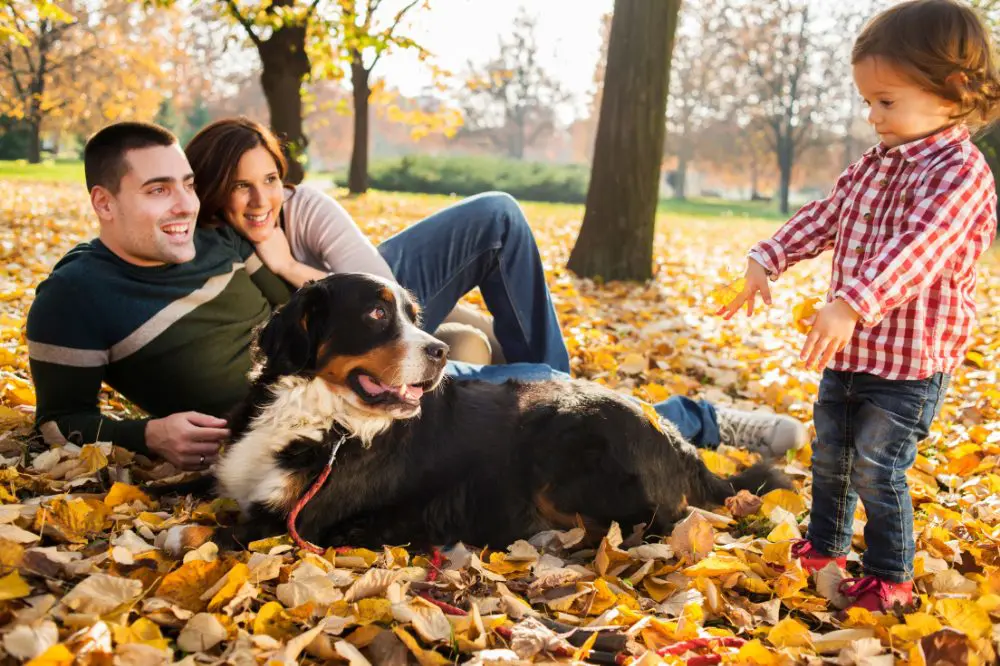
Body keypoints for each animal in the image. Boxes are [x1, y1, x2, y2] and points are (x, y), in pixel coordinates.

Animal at [217, 272, 788, 548]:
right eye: (377, 313)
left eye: (413, 315)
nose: (439, 351)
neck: (324, 418)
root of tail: (672, 436)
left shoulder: (285, 520)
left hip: (561, 455)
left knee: (648, 526)